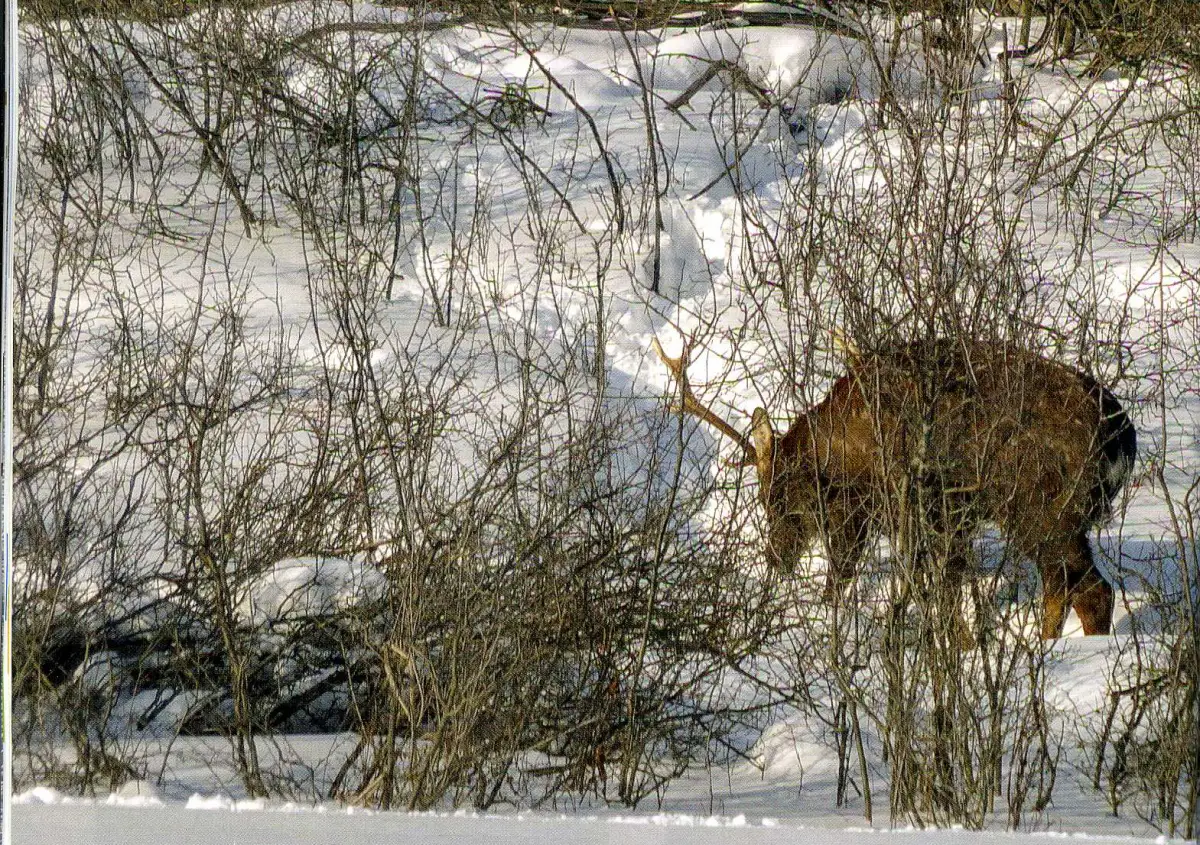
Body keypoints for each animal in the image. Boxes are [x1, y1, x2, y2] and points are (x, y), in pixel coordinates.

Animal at [657, 333, 1132, 638]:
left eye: (778, 499)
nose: (777, 558)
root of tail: (1121, 436)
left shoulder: (911, 507)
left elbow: (906, 583)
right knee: (1068, 588)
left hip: (1044, 507)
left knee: (1089, 590)